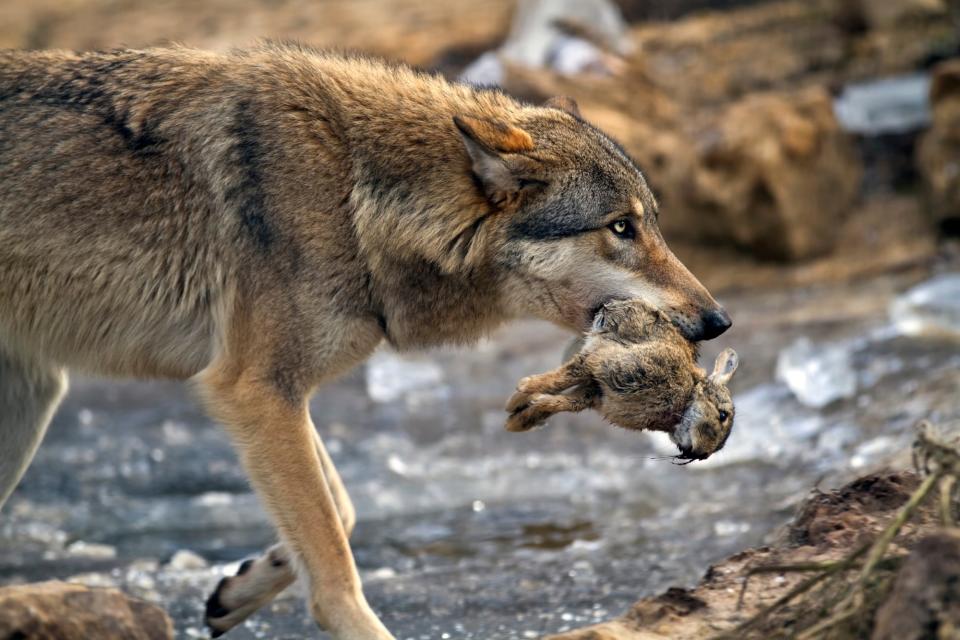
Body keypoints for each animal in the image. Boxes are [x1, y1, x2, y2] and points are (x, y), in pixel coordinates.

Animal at [0, 42, 728, 636]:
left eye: (652, 223)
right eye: (620, 228)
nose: (719, 321)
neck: (355, 193)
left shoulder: (276, 397)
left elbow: (340, 512)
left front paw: (243, 585)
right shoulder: (253, 389)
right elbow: (335, 571)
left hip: (34, 395)